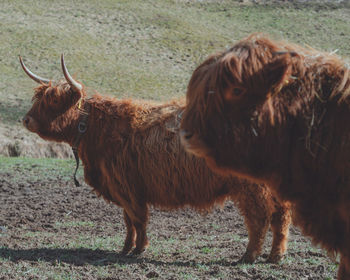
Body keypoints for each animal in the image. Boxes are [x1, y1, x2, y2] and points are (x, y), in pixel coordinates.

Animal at [20, 55, 292, 264]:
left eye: (54, 101)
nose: (26, 120)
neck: (98, 129)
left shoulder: (129, 189)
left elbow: (139, 219)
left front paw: (139, 250)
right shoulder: (122, 188)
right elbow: (129, 221)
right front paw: (125, 248)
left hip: (251, 187)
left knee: (260, 218)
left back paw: (248, 256)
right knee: (281, 218)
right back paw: (275, 256)